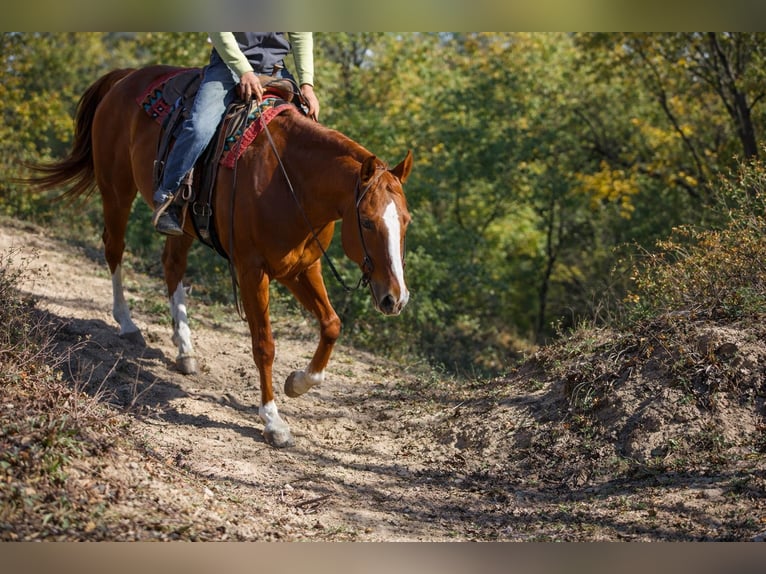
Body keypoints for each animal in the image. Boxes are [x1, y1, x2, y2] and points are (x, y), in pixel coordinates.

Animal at [26, 65, 413, 448]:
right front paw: (273, 421)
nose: (396, 298)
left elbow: (331, 325)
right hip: (117, 190)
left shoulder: (301, 267)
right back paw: (128, 323)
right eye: (366, 221)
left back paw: (185, 350)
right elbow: (264, 345)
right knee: (114, 248)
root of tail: (126, 75)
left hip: (182, 225)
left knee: (172, 266)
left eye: (406, 220)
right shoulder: (252, 271)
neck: (290, 180)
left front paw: (298, 383)